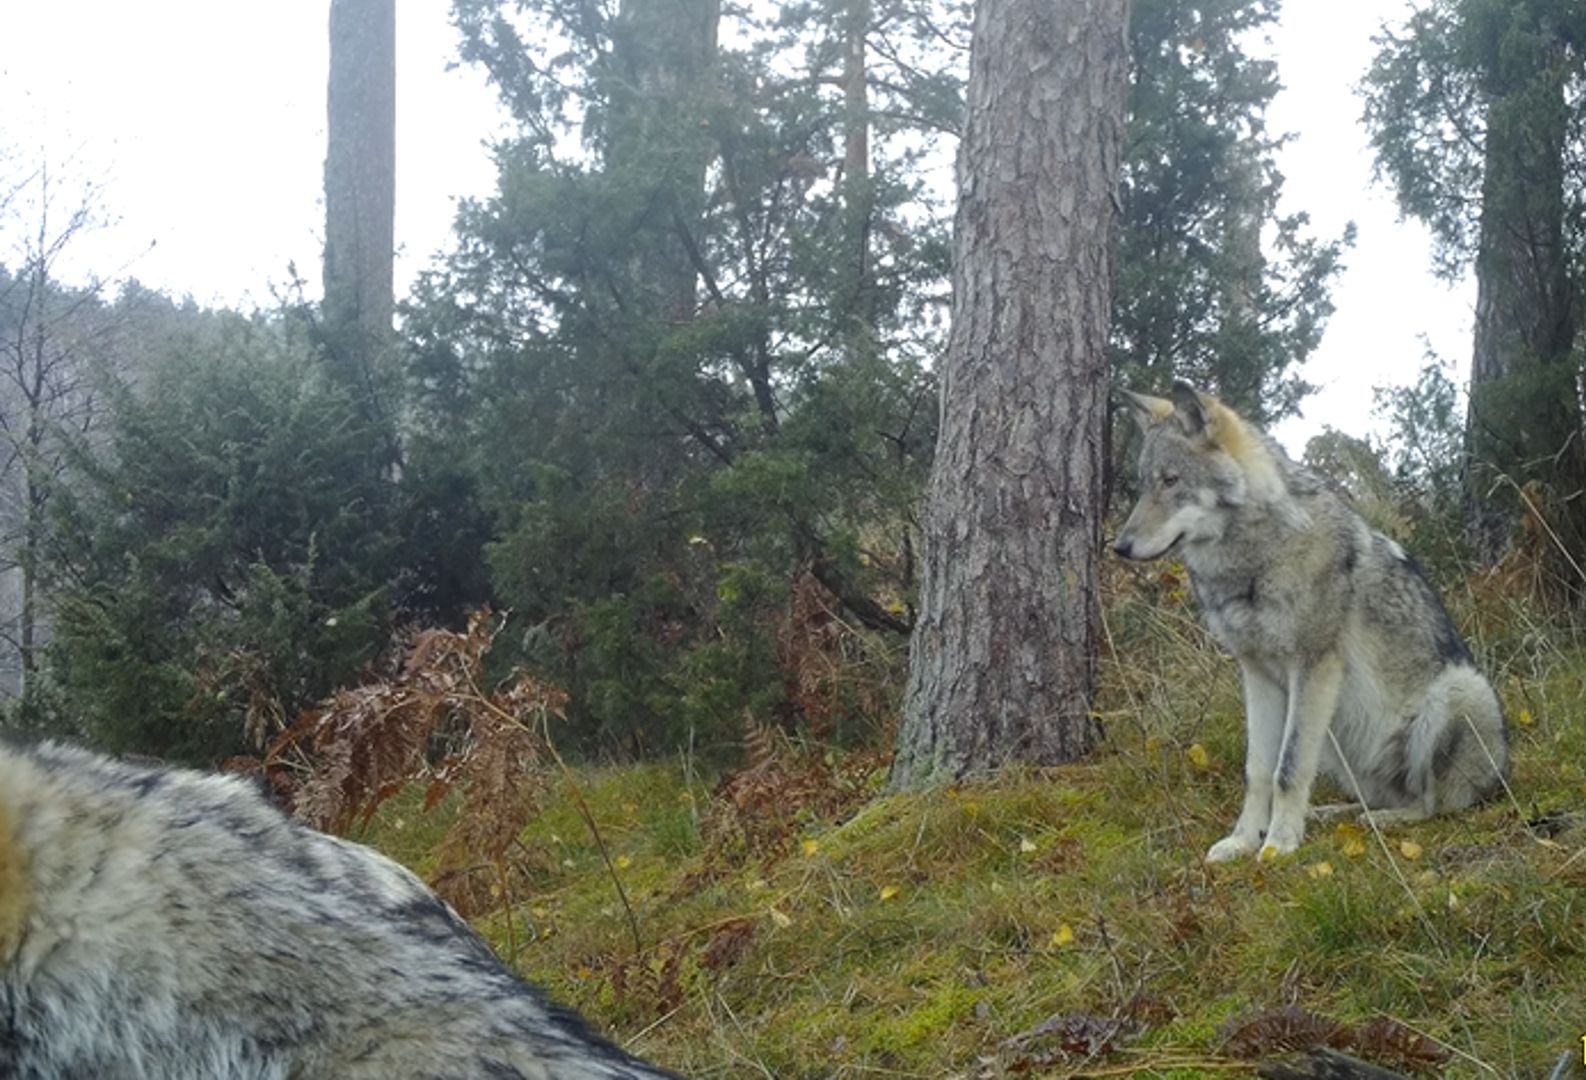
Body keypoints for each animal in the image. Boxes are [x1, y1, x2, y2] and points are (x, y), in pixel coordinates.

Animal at [1110, 383, 1503, 862]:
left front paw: (1278, 845)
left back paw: (1385, 821)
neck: (1256, 562)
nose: (1120, 547)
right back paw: (1332, 813)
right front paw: (1243, 841)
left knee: (1432, 805)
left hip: (1457, 691)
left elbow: (1289, 767)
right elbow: (1259, 769)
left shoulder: (1314, 668)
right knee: (1374, 795)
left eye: (1171, 481)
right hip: (1337, 739)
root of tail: (1501, 774)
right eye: (1144, 485)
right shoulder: (1257, 674)